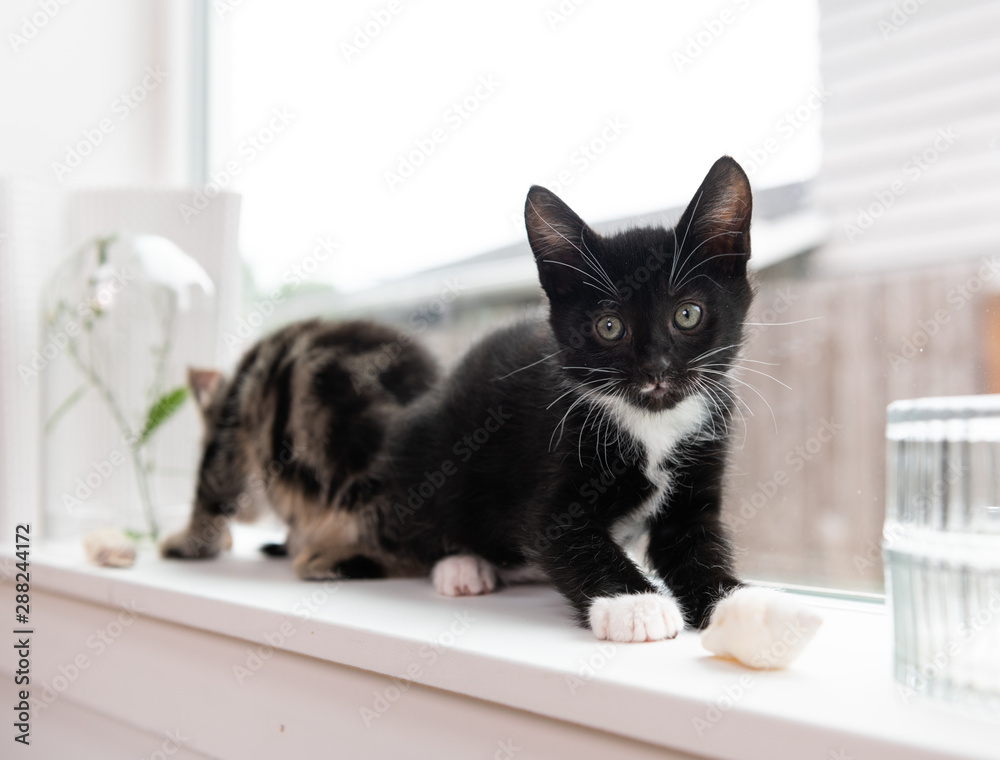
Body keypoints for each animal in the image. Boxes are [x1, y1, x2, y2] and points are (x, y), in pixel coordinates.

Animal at [380, 157, 820, 664]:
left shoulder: (701, 471)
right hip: (423, 440)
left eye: (687, 314)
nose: (655, 368)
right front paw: (637, 606)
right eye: (609, 327)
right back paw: (462, 565)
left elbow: (698, 546)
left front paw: (747, 606)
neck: (652, 421)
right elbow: (570, 538)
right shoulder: (553, 472)